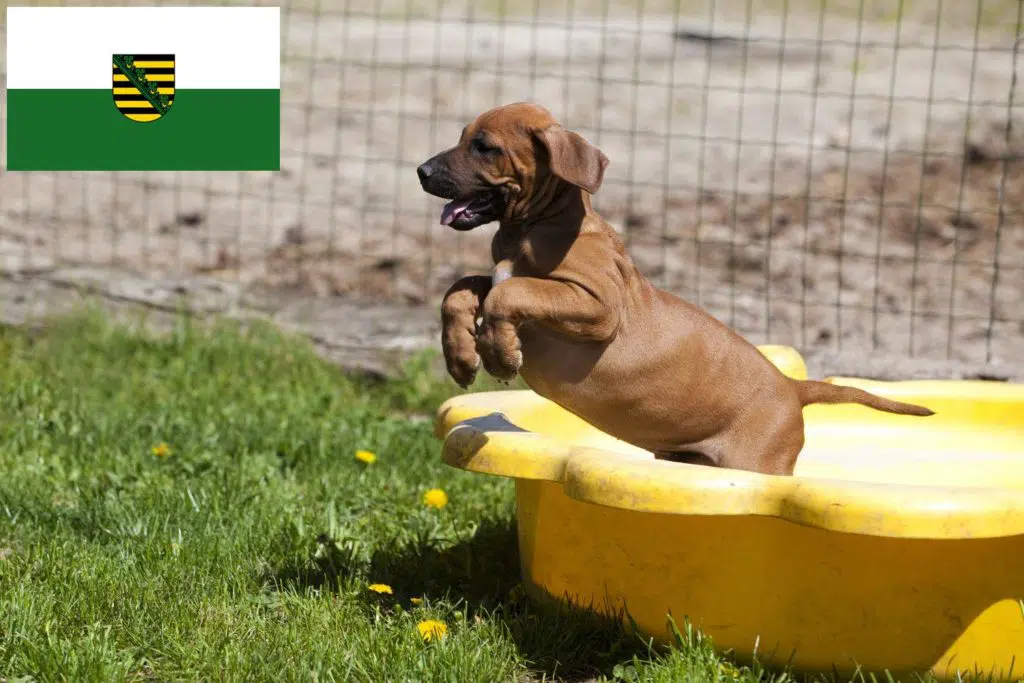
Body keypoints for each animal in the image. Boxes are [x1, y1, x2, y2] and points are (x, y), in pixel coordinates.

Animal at [415, 101, 937, 475]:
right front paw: (461, 354)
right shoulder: (507, 280)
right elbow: (462, 289)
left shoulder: (598, 306)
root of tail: (791, 387)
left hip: (755, 464)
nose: (422, 171)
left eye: (484, 146)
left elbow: (511, 292)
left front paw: (500, 353)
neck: (535, 226)